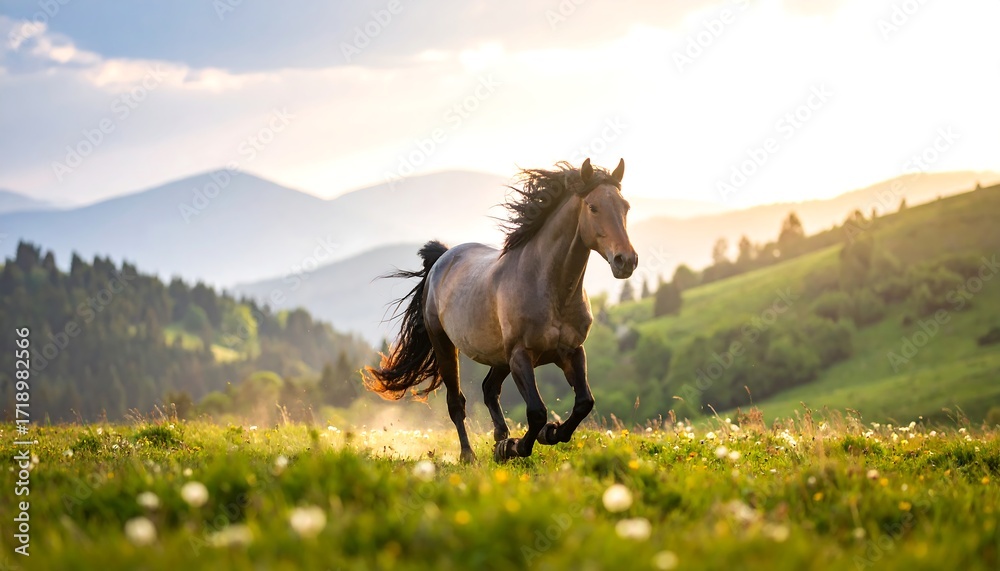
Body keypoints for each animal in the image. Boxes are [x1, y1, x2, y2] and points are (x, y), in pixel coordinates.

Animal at [363, 158, 637, 463]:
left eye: (625, 206)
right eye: (593, 207)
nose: (626, 261)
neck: (548, 286)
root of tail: (442, 258)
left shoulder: (572, 351)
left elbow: (584, 403)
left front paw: (547, 434)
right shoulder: (521, 355)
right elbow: (537, 412)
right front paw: (519, 445)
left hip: (499, 356)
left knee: (489, 389)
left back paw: (499, 439)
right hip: (446, 345)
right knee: (457, 402)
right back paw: (470, 455)